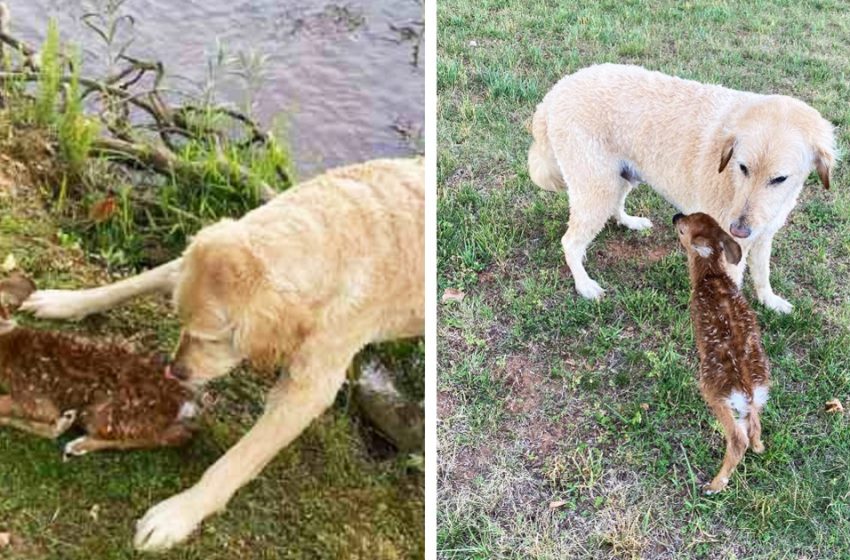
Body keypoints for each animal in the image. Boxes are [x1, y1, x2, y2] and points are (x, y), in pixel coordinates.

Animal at [21, 159, 424, 552]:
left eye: (214, 340)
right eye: (181, 320)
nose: (175, 371)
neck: (329, 235)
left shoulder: (308, 388)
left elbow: (238, 460)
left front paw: (177, 514)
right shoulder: (185, 263)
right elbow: (132, 283)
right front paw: (64, 301)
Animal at [528, 63, 836, 312]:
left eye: (779, 179)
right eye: (743, 167)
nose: (738, 229)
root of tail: (555, 91)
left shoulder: (763, 237)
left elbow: (762, 274)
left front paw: (769, 301)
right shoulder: (730, 251)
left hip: (620, 178)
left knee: (613, 208)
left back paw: (629, 222)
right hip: (597, 187)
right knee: (570, 242)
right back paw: (584, 284)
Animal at [676, 212, 768, 492]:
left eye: (682, 230)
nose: (675, 216)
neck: (712, 276)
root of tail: (748, 390)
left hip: (714, 392)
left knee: (738, 439)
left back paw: (714, 485)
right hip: (753, 402)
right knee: (755, 426)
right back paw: (760, 447)